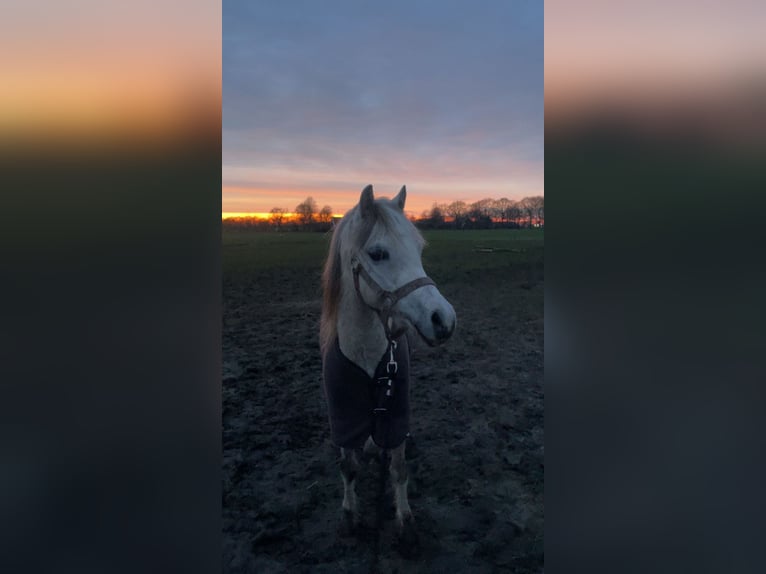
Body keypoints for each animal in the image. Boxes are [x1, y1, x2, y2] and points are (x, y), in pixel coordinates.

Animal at [320, 187, 456, 552]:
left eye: (419, 250)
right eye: (378, 253)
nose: (444, 320)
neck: (366, 352)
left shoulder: (396, 412)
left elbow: (398, 468)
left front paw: (405, 523)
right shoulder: (343, 414)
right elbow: (348, 467)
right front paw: (348, 517)